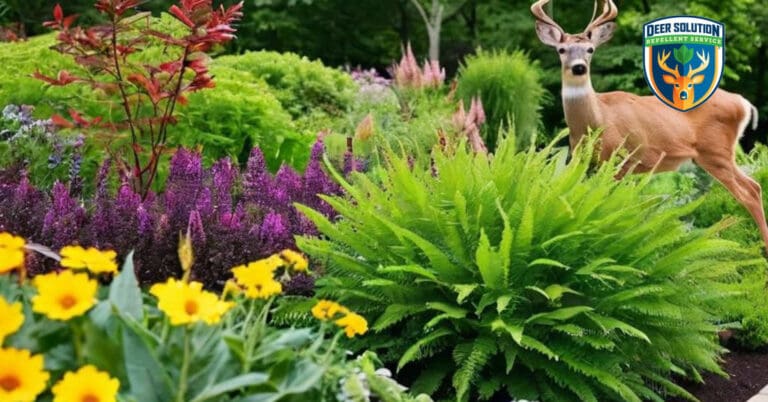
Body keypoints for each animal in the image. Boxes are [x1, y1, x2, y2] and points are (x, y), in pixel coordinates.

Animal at [530, 0, 768, 251]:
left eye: (590, 49)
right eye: (561, 50)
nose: (578, 68)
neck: (596, 122)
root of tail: (743, 104)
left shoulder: (620, 160)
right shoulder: (584, 163)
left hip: (715, 151)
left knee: (749, 191)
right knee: (753, 186)